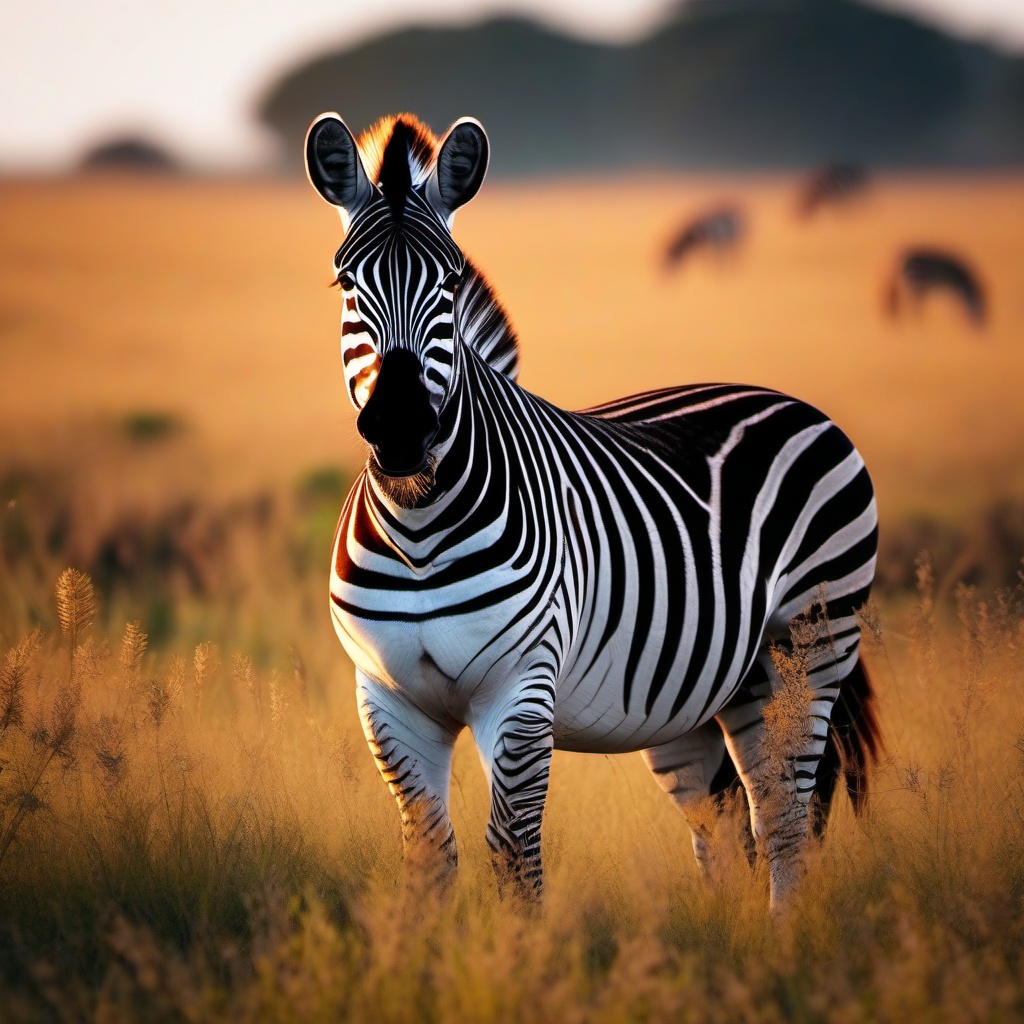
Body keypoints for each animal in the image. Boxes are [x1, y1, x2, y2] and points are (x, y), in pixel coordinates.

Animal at [301, 112, 880, 913]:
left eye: (449, 282)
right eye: (345, 282)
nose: (400, 428)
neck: (419, 528)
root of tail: (791, 400)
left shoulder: (520, 689)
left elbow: (513, 852)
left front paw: (520, 952)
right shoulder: (387, 700)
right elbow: (428, 854)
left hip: (809, 646)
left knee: (786, 822)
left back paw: (785, 939)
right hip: (701, 695)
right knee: (724, 831)